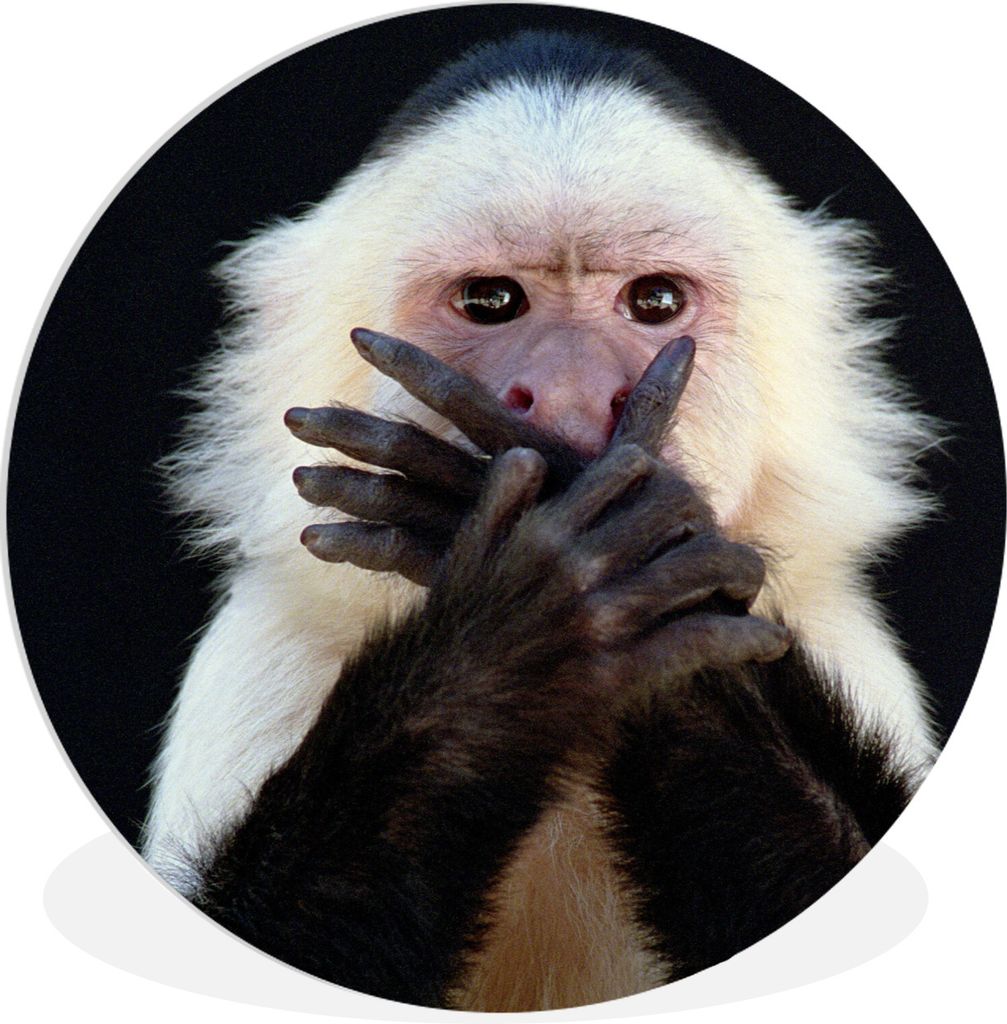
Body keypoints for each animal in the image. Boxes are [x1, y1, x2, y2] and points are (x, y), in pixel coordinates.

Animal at [142, 31, 935, 1011]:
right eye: (491, 302)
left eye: (654, 303)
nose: (569, 395)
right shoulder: (266, 651)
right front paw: (528, 624)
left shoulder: (838, 637)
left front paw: (633, 566)